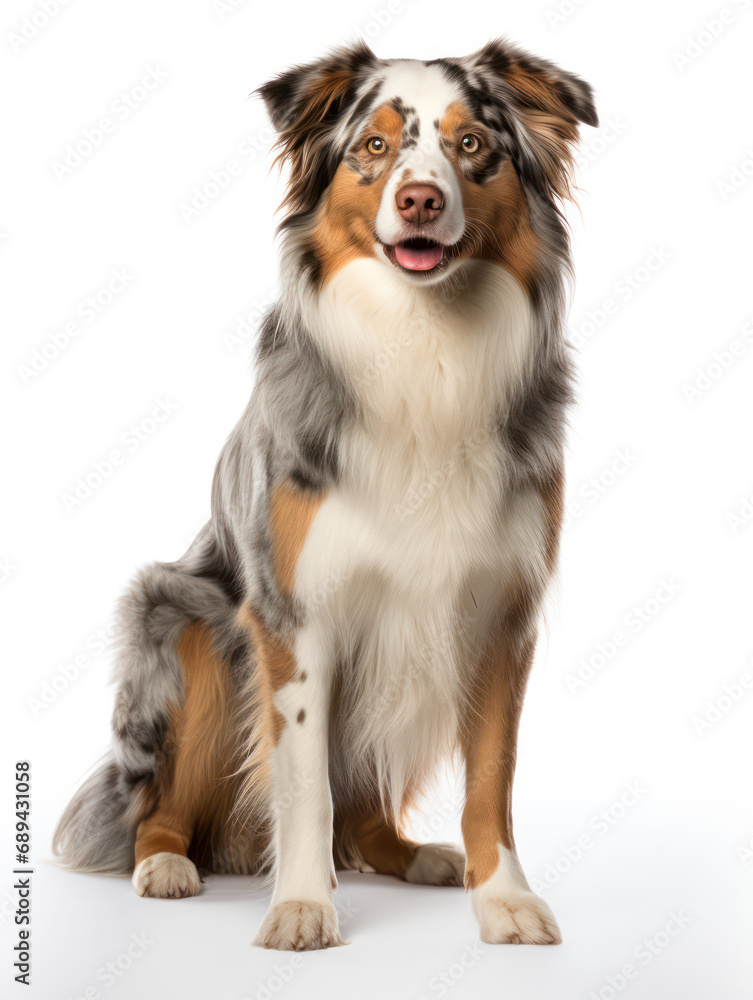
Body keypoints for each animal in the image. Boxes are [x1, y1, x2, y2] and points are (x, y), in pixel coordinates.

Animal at [53, 35, 596, 948]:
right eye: (373, 146)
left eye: (471, 144)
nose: (419, 200)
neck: (424, 348)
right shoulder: (292, 614)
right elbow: (303, 785)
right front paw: (302, 906)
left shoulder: (499, 612)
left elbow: (491, 778)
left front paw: (503, 899)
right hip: (191, 633)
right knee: (159, 802)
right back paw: (166, 865)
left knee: (364, 811)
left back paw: (416, 856)